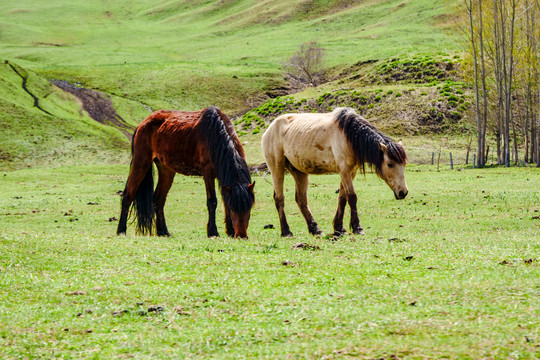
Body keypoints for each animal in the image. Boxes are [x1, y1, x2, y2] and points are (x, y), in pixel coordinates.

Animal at [117, 105, 255, 238]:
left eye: (249, 207)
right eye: (234, 209)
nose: (241, 235)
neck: (216, 134)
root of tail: (142, 123)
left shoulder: (222, 176)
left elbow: (225, 200)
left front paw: (230, 231)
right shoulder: (208, 172)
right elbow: (212, 201)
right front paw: (213, 232)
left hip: (166, 169)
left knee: (158, 199)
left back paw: (163, 231)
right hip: (141, 162)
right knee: (128, 195)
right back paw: (121, 230)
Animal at [262, 107, 410, 236]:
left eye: (404, 164)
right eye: (390, 164)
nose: (403, 192)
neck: (349, 134)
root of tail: (269, 129)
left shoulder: (351, 171)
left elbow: (342, 198)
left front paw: (339, 228)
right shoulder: (344, 170)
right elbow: (352, 196)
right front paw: (357, 228)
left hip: (299, 172)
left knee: (301, 200)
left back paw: (315, 229)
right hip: (277, 168)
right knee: (279, 198)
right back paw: (286, 231)